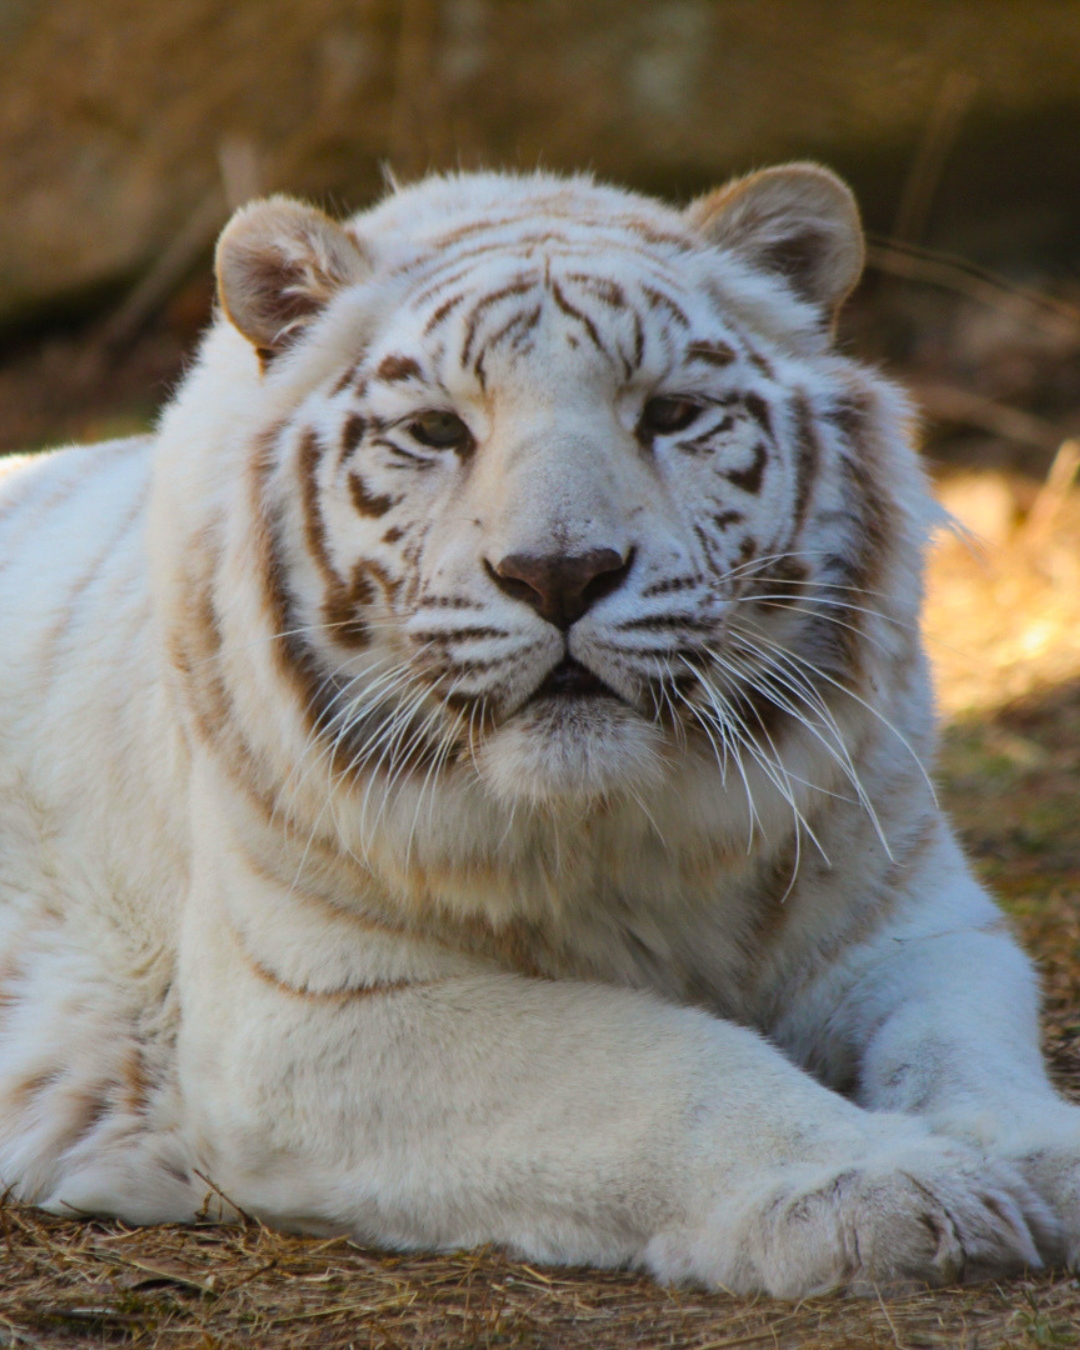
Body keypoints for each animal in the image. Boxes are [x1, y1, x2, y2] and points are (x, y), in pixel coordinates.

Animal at [0, 162, 1078, 1298]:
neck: (620, 832)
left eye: (673, 414)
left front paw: (1036, 1160)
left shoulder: (911, 917)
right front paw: (884, 1187)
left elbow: (964, 1044)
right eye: (436, 430)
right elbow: (662, 1062)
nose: (561, 573)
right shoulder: (308, 1014)